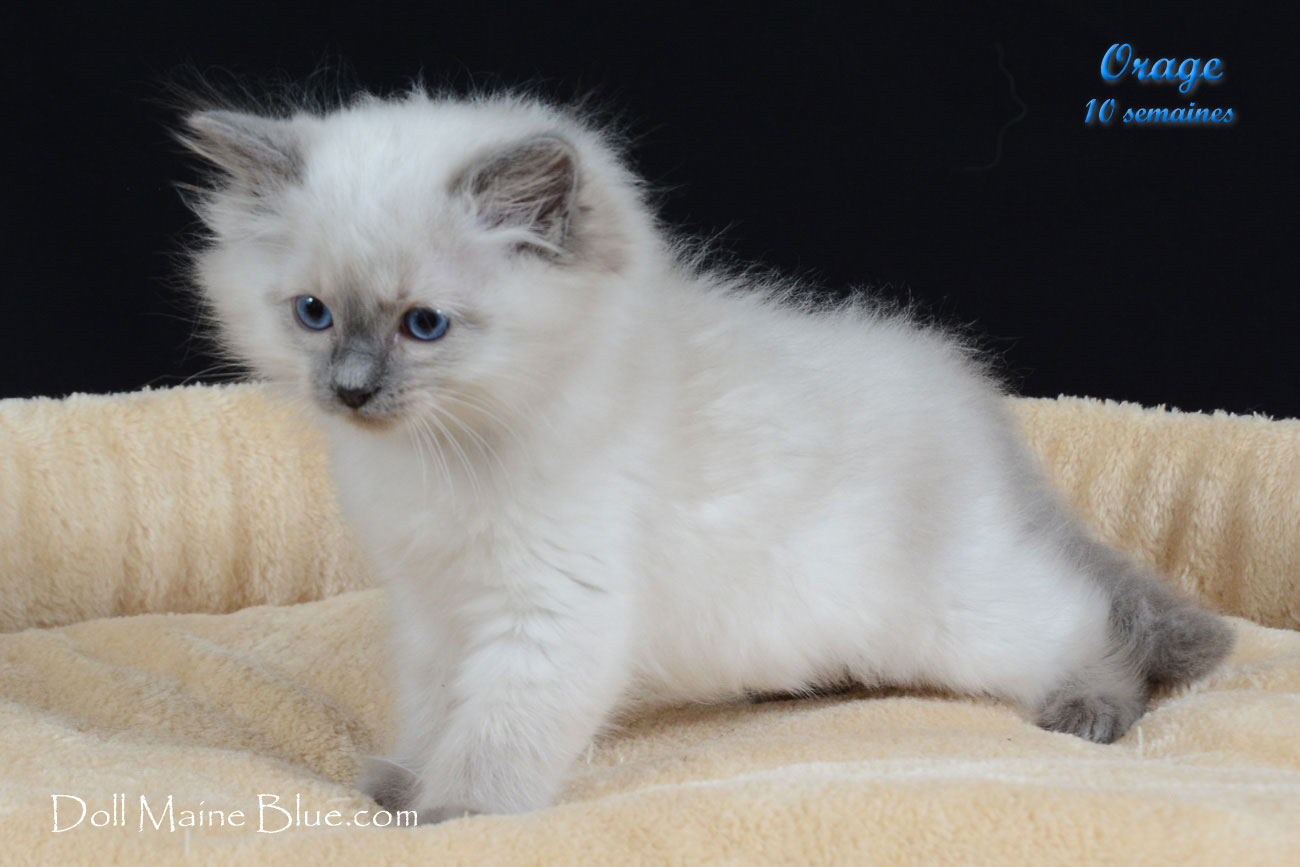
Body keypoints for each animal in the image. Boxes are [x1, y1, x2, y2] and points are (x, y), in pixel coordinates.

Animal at [178, 87, 1234, 823]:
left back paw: (1093, 706)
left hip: (957, 618)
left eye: (424, 324)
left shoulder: (547, 614)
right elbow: (440, 711)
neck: (443, 459)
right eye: (313, 314)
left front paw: (454, 812)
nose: (351, 390)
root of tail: (977, 398)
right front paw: (404, 782)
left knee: (1078, 615)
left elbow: (496, 734)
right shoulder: (436, 610)